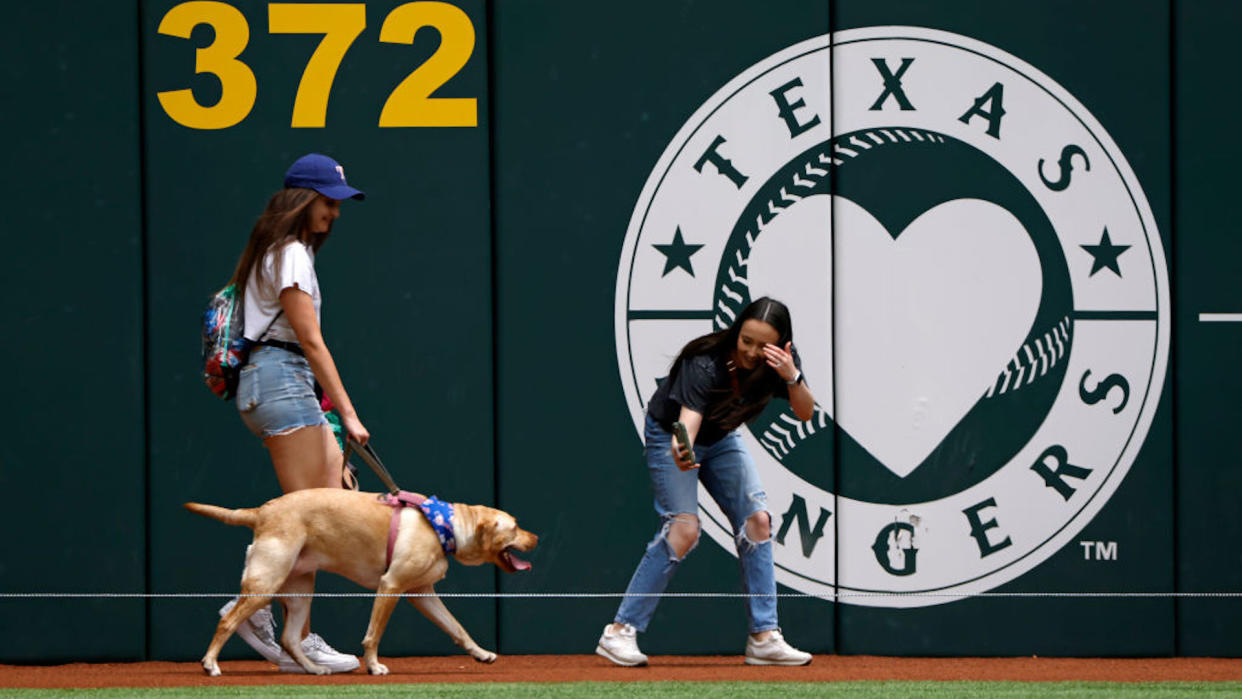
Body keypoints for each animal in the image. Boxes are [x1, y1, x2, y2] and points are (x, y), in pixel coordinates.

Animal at [186, 489, 536, 675]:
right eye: (516, 526)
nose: (536, 538)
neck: (445, 526)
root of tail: (262, 511)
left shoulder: (421, 593)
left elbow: (457, 628)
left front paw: (481, 653)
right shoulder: (391, 586)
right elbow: (373, 635)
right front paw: (374, 666)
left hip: (300, 592)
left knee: (289, 638)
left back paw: (313, 669)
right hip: (266, 583)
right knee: (228, 621)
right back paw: (210, 664)